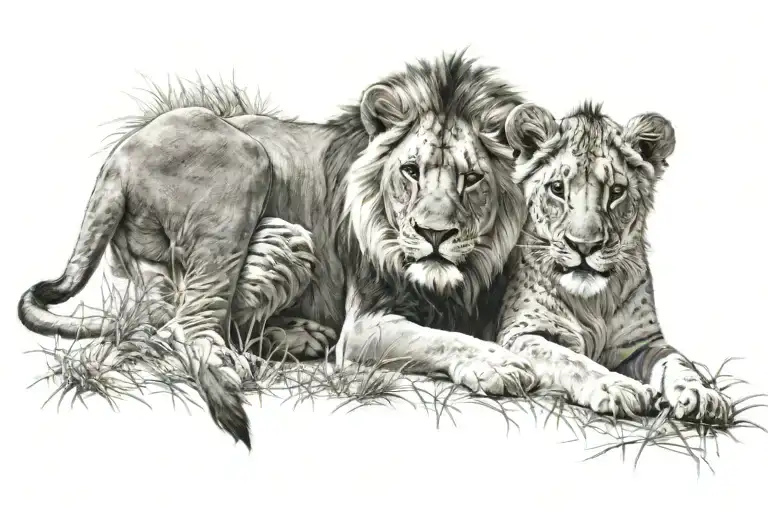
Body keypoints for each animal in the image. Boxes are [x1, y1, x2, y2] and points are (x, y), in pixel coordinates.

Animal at [19, 51, 538, 448]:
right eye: (410, 171)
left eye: (472, 179)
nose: (434, 234)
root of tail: (118, 160)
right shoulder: (365, 324)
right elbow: (438, 339)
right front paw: (498, 365)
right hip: (246, 165)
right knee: (184, 326)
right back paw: (233, 361)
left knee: (176, 318)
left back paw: (296, 336)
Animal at [495, 100, 731, 423]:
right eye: (557, 188)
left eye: (616, 192)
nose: (584, 245)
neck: (594, 302)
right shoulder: (521, 334)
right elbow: (571, 360)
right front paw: (618, 386)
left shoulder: (644, 343)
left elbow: (677, 362)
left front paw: (702, 393)